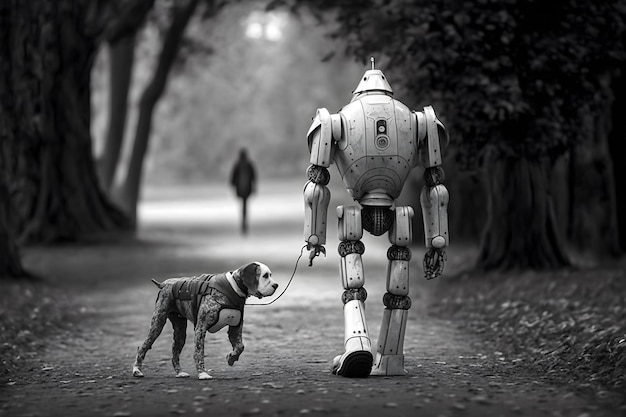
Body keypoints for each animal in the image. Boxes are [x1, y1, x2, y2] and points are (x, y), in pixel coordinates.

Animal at [132, 262, 276, 378]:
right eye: (265, 276)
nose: (276, 285)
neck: (233, 288)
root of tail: (164, 284)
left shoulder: (235, 329)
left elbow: (240, 346)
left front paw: (231, 358)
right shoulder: (200, 329)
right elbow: (199, 352)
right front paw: (202, 373)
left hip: (180, 332)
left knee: (175, 353)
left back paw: (180, 372)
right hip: (157, 324)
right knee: (143, 347)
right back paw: (137, 370)